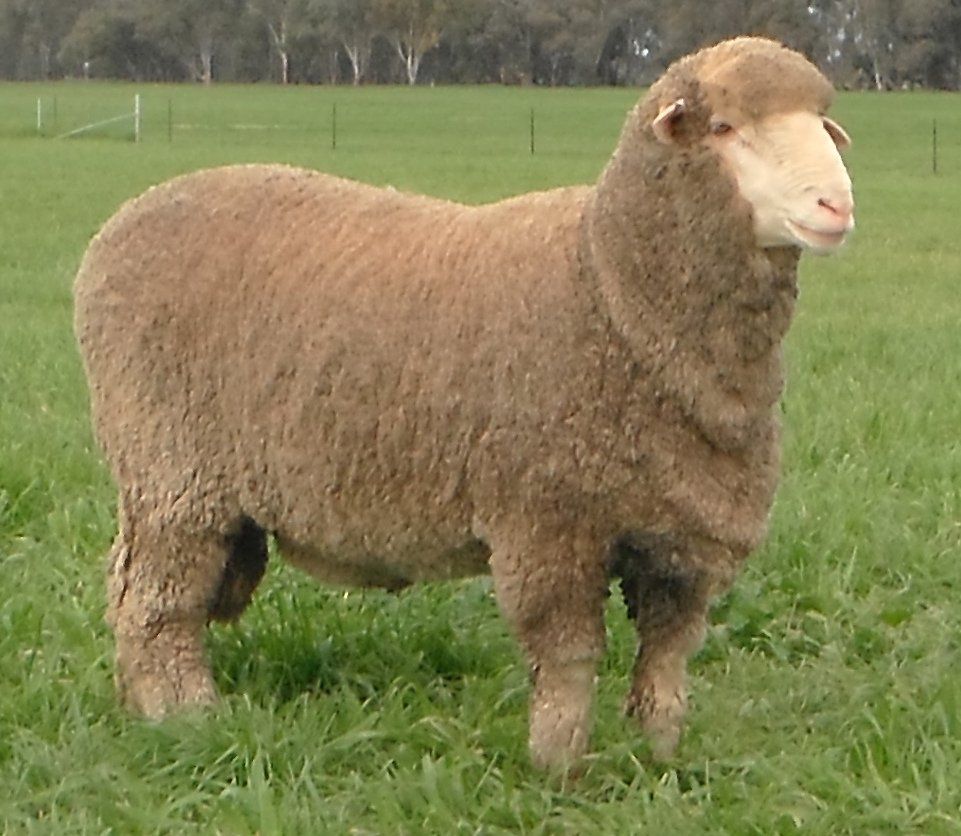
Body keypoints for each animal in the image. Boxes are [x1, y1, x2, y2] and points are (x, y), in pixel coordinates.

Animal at [74, 36, 854, 770]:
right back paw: (185, 719)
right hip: (171, 473)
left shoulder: (682, 539)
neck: (611, 288)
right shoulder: (547, 523)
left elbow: (665, 661)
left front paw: (658, 760)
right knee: (157, 606)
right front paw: (557, 770)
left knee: (138, 594)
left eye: (820, 122)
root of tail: (115, 226)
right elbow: (567, 660)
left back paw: (143, 706)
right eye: (723, 127)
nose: (836, 206)